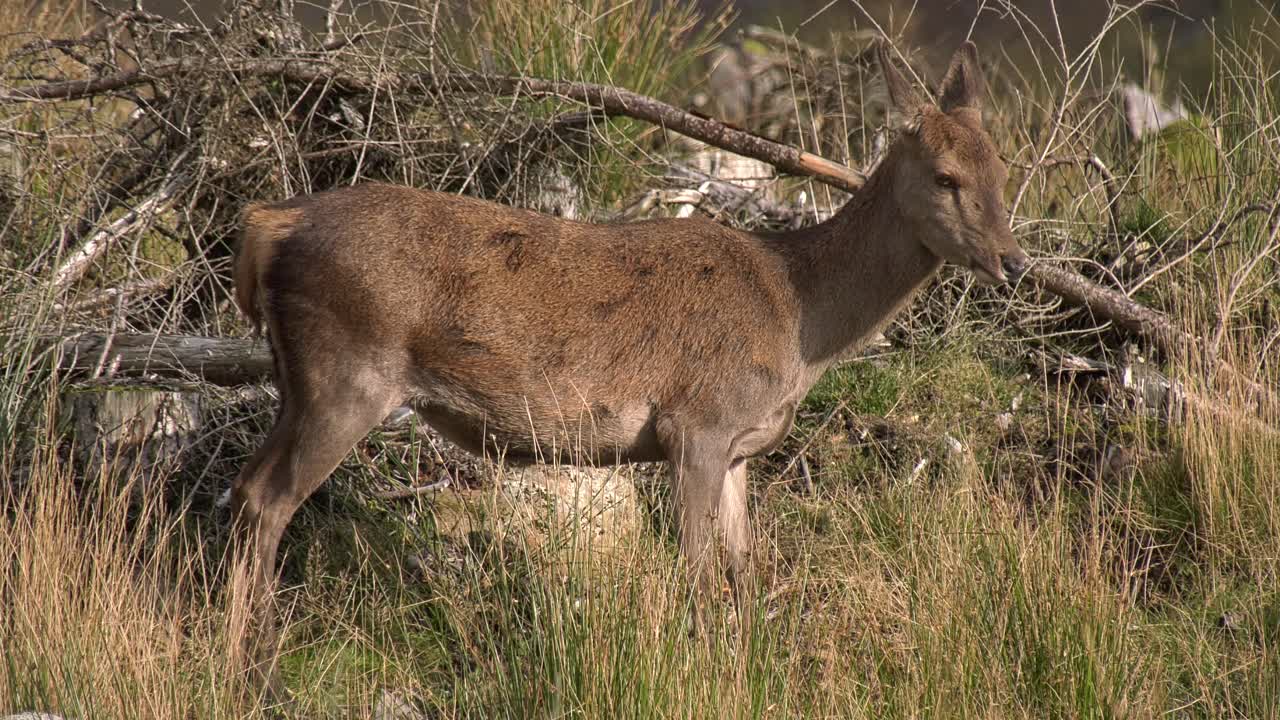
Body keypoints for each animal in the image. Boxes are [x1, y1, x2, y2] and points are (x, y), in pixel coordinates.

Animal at [228, 40, 1028, 690]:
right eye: (946, 176)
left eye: (1003, 167)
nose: (1014, 261)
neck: (801, 317)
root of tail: (270, 222)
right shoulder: (696, 423)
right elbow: (701, 577)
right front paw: (708, 675)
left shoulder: (740, 449)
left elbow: (745, 573)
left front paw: (751, 674)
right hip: (348, 373)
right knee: (268, 500)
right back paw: (261, 675)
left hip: (296, 380)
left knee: (243, 487)